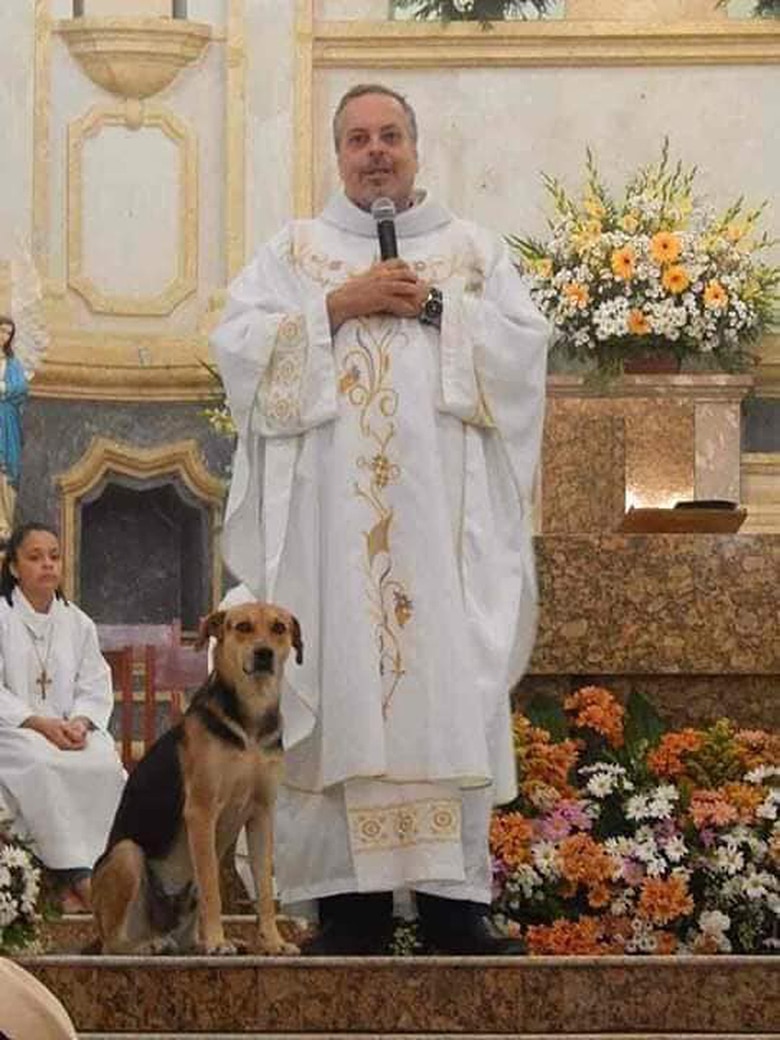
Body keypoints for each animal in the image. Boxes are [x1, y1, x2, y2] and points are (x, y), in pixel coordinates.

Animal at [89, 607, 301, 952]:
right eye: (243, 627)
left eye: (279, 628)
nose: (264, 653)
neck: (250, 722)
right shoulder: (201, 812)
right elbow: (212, 888)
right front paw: (217, 941)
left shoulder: (261, 815)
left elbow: (265, 890)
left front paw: (273, 942)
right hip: (126, 856)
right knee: (113, 943)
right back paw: (148, 945)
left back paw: (195, 942)